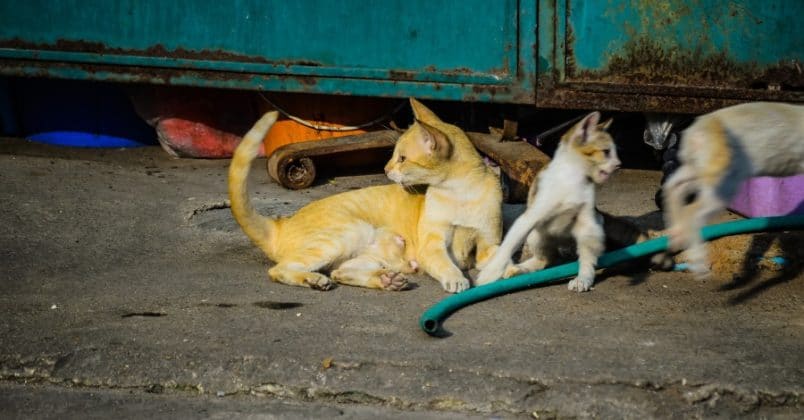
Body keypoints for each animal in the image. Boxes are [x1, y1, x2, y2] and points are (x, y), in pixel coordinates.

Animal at [228, 100, 502, 294]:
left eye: (402, 158)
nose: (385, 169)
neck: (461, 192)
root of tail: (280, 224)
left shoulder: (489, 243)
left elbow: (498, 257)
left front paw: (506, 271)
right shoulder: (432, 245)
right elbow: (446, 263)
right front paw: (456, 278)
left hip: (370, 255)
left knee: (340, 272)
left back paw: (387, 280)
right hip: (349, 232)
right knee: (280, 269)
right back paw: (315, 279)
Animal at [478, 111, 620, 292]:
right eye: (606, 151)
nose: (618, 165)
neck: (572, 178)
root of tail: (562, 245)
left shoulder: (587, 223)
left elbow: (588, 255)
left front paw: (584, 278)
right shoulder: (529, 218)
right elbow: (508, 246)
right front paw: (490, 273)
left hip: (596, 221)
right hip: (535, 235)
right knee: (545, 258)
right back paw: (521, 269)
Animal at [664, 100, 800, 274]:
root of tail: (696, 133)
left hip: (698, 167)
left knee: (674, 186)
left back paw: (675, 234)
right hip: (724, 179)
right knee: (693, 211)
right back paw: (699, 264)